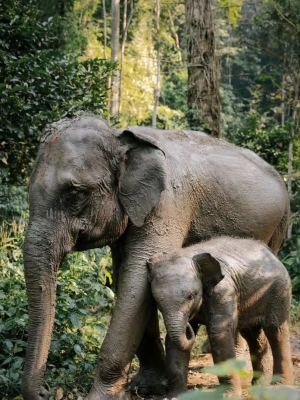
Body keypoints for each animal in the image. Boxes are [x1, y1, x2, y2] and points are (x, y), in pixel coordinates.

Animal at [148, 236, 292, 396]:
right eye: (157, 300)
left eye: (191, 296)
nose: (187, 324)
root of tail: (271, 253)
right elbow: (172, 341)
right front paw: (177, 396)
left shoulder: (223, 290)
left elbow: (219, 332)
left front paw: (229, 396)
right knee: (253, 335)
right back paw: (259, 385)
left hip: (279, 290)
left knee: (274, 330)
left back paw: (279, 386)